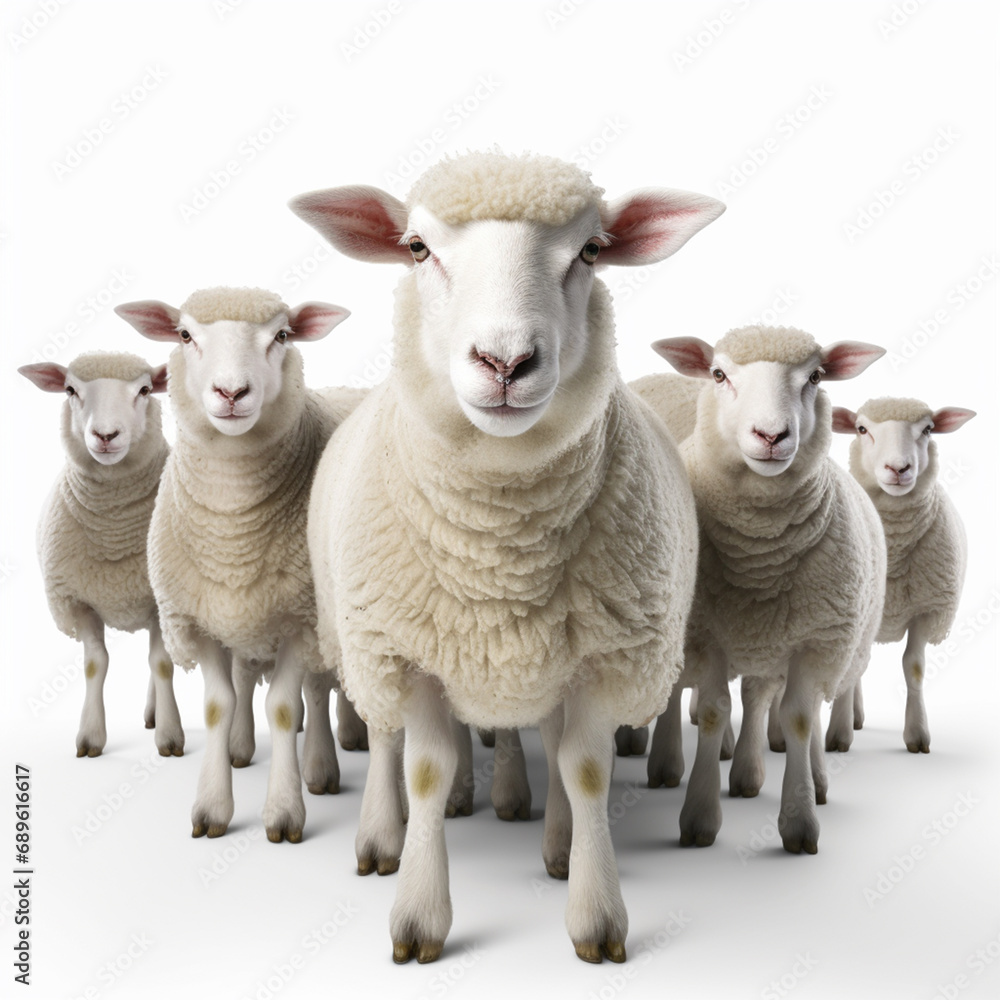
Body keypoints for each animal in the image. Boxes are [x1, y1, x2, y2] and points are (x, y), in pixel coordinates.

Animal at [20, 352, 183, 758]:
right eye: (70, 390)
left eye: (144, 390)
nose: (106, 435)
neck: (113, 533)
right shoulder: (78, 601)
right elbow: (96, 664)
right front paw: (90, 737)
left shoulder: (159, 600)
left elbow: (162, 663)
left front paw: (170, 737)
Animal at [114, 287, 359, 842]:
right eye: (185, 335)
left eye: (282, 335)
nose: (231, 392)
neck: (233, 533)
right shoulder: (202, 617)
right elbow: (219, 704)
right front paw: (212, 806)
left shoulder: (301, 621)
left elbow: (287, 707)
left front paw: (285, 811)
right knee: (249, 680)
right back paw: (242, 749)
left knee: (319, 688)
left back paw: (324, 763)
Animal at [290, 149, 724, 964]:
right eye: (417, 248)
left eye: (591, 251)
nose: (505, 360)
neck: (500, 562)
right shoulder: (409, 654)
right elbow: (425, 768)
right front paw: (418, 916)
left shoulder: (600, 660)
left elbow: (583, 768)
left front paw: (594, 910)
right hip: (361, 639)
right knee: (385, 737)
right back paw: (381, 835)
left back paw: (543, 834)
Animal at [651, 327, 886, 853]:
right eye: (719, 374)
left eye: (816, 377)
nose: (772, 436)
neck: (760, 556)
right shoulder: (703, 634)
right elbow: (714, 710)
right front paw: (699, 817)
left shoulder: (817, 641)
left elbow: (799, 717)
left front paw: (800, 821)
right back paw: (670, 766)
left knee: (771, 699)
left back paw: (775, 775)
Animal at [831, 397, 975, 753]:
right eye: (862, 429)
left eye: (928, 430)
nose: (898, 469)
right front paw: (838, 734)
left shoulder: (926, 609)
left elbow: (914, 667)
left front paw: (917, 734)